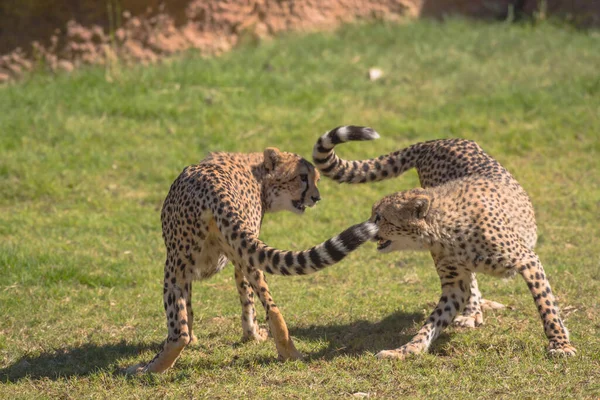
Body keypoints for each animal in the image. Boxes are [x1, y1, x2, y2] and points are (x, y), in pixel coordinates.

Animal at [127, 148, 378, 376]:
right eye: (302, 177)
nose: (316, 198)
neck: (256, 170)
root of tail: (212, 188)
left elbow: (241, 299)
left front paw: (249, 335)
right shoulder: (238, 252)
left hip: (175, 266)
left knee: (179, 332)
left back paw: (148, 369)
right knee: (272, 307)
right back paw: (290, 353)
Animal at [312, 128, 576, 360]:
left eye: (380, 217)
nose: (367, 229)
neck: (448, 233)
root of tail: (436, 141)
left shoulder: (528, 260)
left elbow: (547, 306)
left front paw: (560, 344)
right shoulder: (453, 285)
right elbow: (433, 321)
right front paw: (407, 350)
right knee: (472, 283)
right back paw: (472, 312)